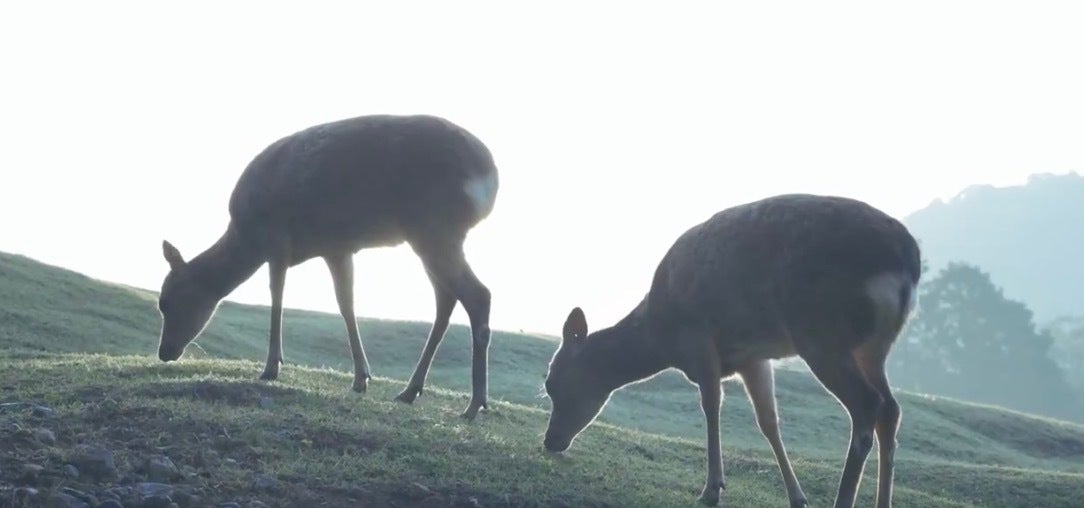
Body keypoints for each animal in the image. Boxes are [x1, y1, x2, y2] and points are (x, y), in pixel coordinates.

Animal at [155, 114, 499, 419]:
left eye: (165, 302)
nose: (164, 352)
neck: (246, 237)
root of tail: (490, 174)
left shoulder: (278, 241)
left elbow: (277, 297)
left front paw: (271, 367)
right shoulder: (336, 248)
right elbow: (346, 304)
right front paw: (361, 378)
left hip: (435, 227)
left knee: (478, 294)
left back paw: (473, 405)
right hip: (431, 236)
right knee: (447, 300)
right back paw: (410, 391)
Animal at [542, 193, 921, 507]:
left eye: (552, 382)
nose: (550, 440)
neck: (661, 337)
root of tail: (907, 261)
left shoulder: (698, 337)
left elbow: (711, 404)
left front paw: (712, 489)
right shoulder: (753, 357)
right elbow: (768, 421)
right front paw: (797, 497)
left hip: (821, 333)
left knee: (867, 404)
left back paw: (843, 500)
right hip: (873, 348)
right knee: (891, 409)